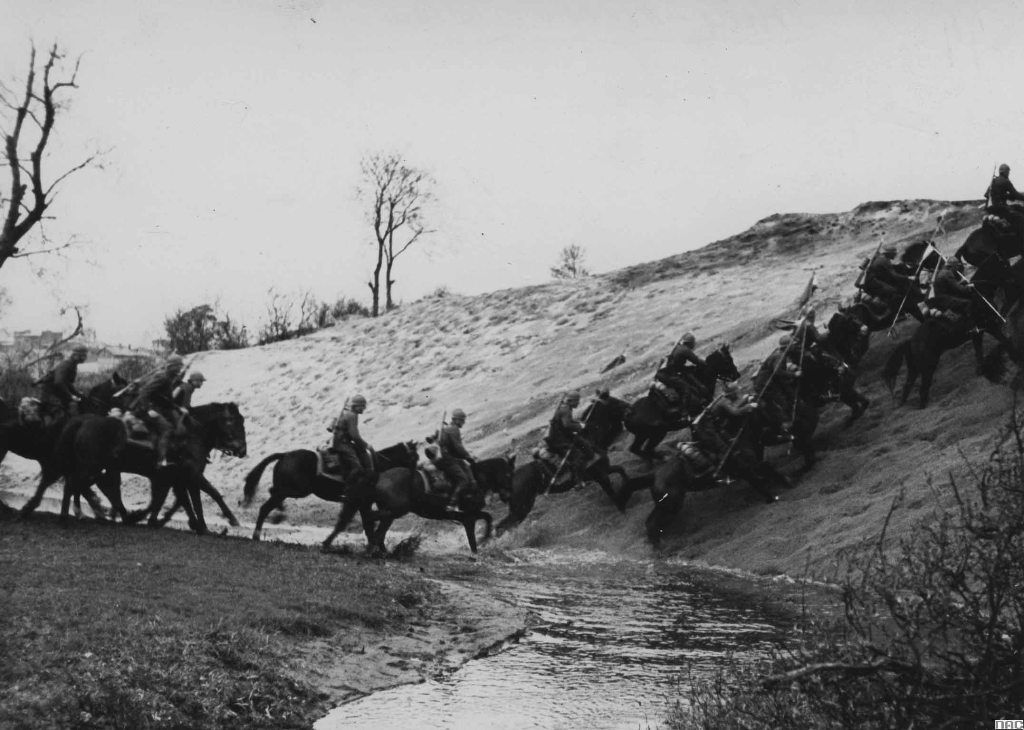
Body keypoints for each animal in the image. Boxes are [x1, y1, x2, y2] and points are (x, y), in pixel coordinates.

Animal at [21, 401, 247, 532]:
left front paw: (156, 519)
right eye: (232, 421)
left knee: (60, 481)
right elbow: (206, 495)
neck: (190, 434)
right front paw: (221, 521)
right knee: (74, 485)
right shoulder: (189, 475)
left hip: (86, 465)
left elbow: (168, 499)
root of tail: (81, 421)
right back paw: (68, 516)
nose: (242, 449)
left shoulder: (171, 478)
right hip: (90, 466)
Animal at [241, 438, 417, 548]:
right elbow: (360, 524)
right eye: (415, 457)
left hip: (293, 491)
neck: (376, 466)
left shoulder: (361, 504)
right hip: (297, 490)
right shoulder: (360, 502)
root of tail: (285, 455)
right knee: (270, 499)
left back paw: (261, 530)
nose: (416, 474)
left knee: (266, 505)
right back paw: (271, 521)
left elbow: (367, 525)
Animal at [495, 391, 630, 532]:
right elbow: (613, 496)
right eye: (615, 402)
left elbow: (621, 469)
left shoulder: (605, 469)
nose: (629, 406)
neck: (591, 438)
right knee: (503, 526)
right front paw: (623, 513)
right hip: (521, 508)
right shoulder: (601, 476)